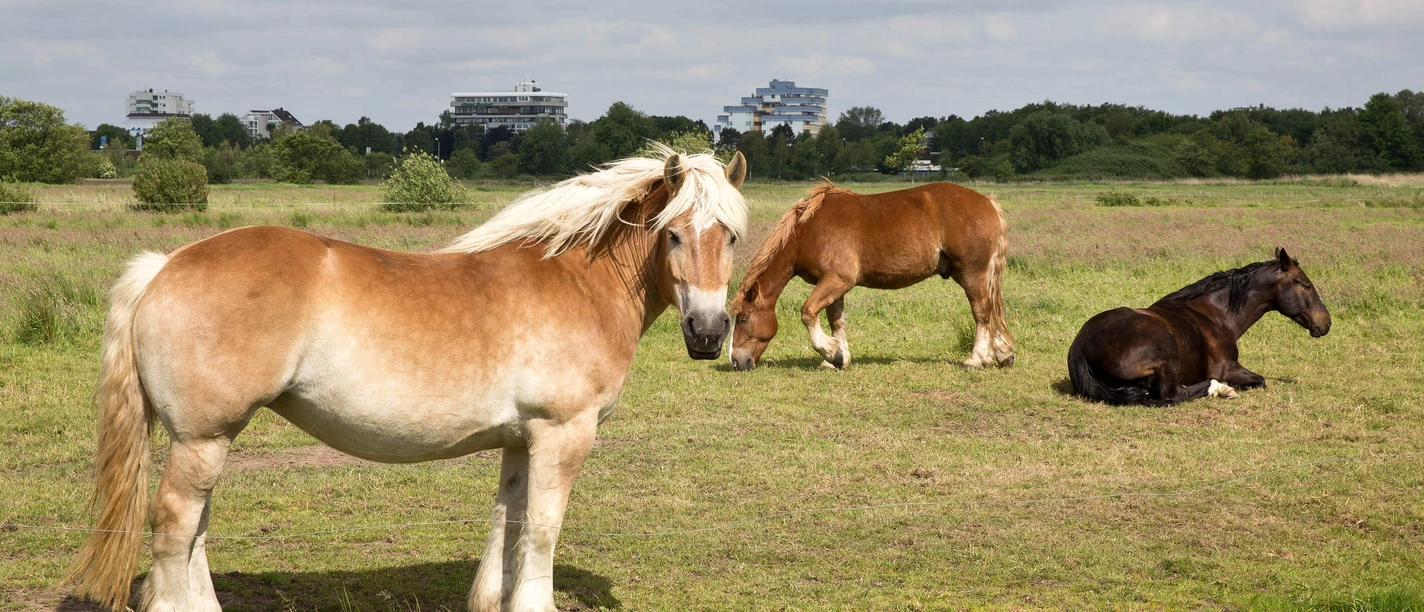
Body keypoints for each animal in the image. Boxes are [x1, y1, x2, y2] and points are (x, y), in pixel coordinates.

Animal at [65, 147, 750, 612]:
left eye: (732, 237)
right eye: (673, 234)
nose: (708, 331)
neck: (577, 280)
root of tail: (164, 266)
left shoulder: (519, 440)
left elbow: (508, 519)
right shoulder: (563, 434)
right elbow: (542, 527)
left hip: (205, 440)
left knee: (196, 527)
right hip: (203, 438)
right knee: (175, 522)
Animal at [728, 181, 1014, 371]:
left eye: (743, 318)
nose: (736, 361)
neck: (808, 231)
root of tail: (988, 202)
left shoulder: (838, 280)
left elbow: (808, 313)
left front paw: (830, 351)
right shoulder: (833, 285)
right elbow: (836, 321)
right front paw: (838, 358)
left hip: (971, 273)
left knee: (982, 312)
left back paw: (976, 359)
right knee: (990, 311)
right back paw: (1002, 353)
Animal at [1067, 248, 1331, 406]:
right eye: (1305, 284)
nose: (1326, 322)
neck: (1214, 316)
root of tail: (1080, 345)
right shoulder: (1229, 367)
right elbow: (1259, 380)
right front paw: (1228, 387)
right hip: (1166, 355)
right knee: (1174, 394)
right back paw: (1219, 388)